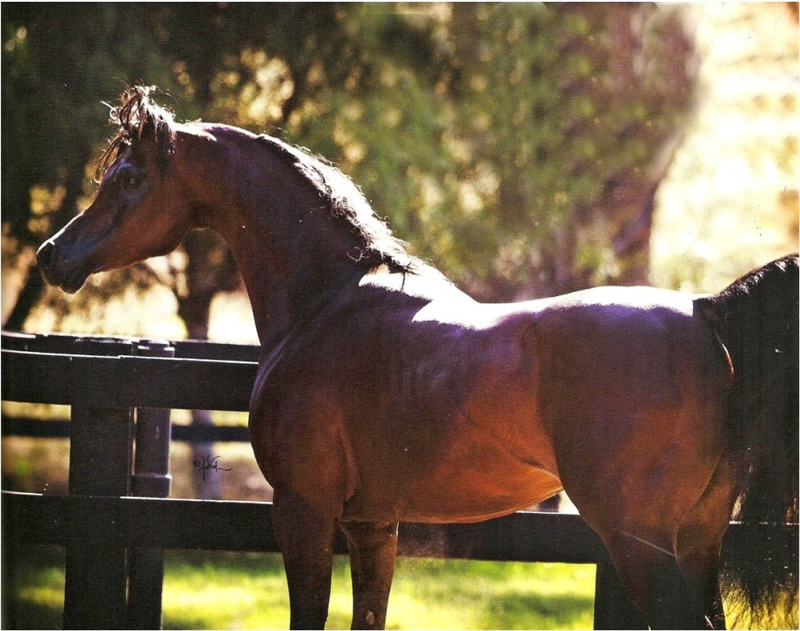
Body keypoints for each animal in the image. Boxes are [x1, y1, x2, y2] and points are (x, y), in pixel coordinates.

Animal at [36, 86, 798, 629]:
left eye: (129, 178)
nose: (52, 255)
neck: (329, 301)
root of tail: (704, 313)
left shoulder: (303, 511)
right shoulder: (375, 523)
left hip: (641, 544)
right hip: (696, 541)